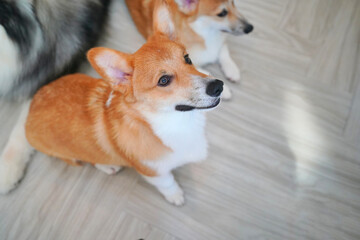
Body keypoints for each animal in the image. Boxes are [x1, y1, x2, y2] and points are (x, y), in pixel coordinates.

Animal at [24, 0, 222, 206]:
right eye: (164, 80)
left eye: (187, 58)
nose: (218, 86)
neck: (174, 122)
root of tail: (30, 108)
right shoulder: (154, 173)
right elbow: (168, 183)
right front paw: (175, 196)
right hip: (71, 155)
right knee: (87, 159)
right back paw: (107, 166)